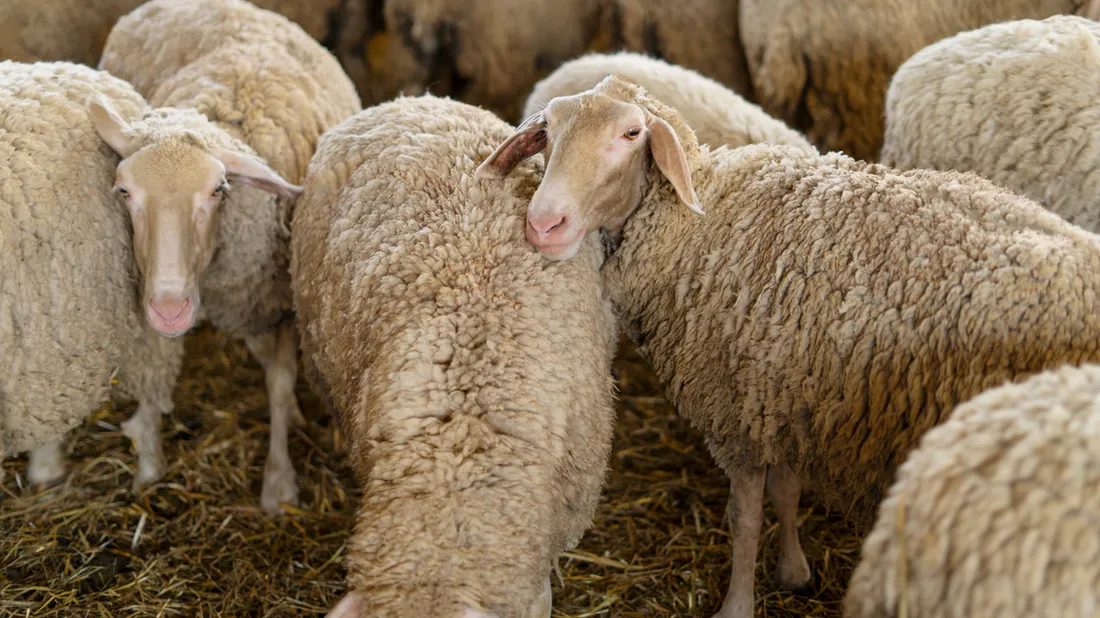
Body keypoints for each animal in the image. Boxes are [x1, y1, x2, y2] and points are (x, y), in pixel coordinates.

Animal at [94, 0, 360, 513]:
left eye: (218, 190)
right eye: (123, 191)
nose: (172, 310)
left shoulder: (278, 301)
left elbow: (279, 382)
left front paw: (278, 484)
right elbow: (155, 369)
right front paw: (148, 458)